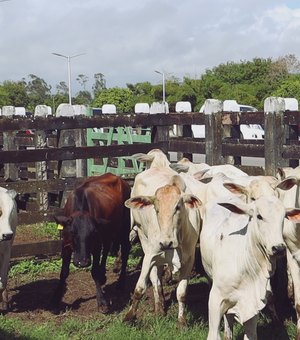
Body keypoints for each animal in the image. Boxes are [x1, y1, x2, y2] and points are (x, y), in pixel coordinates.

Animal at [52, 173, 131, 314]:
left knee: (125, 249)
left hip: (124, 227)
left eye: (93, 232)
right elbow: (64, 272)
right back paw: (103, 274)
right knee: (107, 247)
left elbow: (94, 271)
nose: (82, 262)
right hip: (108, 231)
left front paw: (102, 301)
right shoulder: (65, 245)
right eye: (72, 232)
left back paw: (121, 282)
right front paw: (56, 298)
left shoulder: (96, 244)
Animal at [123, 168, 203, 326]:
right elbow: (140, 288)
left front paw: (182, 321)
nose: (166, 243)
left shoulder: (189, 260)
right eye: (156, 209)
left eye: (178, 207)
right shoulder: (150, 255)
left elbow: (182, 293)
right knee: (155, 278)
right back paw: (158, 307)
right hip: (142, 237)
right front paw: (129, 316)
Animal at [199, 190, 300, 338]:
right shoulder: (215, 301)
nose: (279, 248)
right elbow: (213, 334)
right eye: (259, 216)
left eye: (284, 217)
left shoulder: (253, 305)